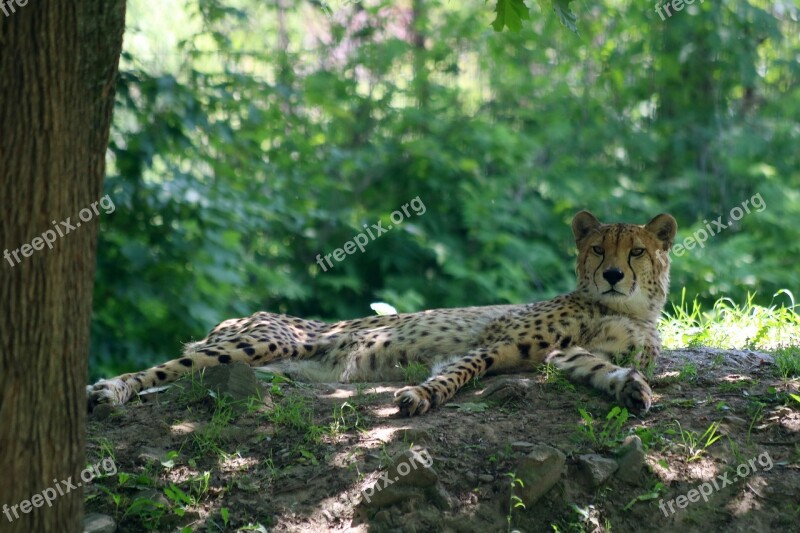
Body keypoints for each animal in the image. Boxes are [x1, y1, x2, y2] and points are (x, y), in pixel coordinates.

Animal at [87, 211, 676, 416]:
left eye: (636, 251)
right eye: (598, 249)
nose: (613, 274)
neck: (620, 308)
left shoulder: (566, 354)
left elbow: (603, 366)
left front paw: (631, 389)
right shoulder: (492, 344)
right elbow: (460, 371)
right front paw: (421, 396)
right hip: (265, 340)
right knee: (162, 368)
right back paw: (111, 390)